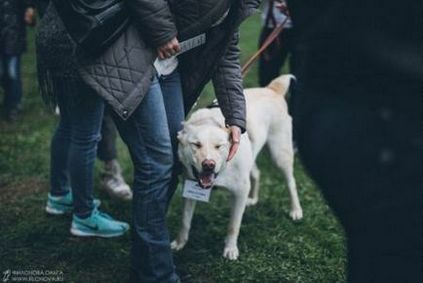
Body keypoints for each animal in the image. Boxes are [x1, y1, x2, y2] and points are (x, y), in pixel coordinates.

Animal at [171, 75, 304, 262]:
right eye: (196, 144)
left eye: (219, 146)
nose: (208, 164)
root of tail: (271, 89)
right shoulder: (189, 191)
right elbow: (185, 221)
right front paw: (179, 243)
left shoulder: (240, 191)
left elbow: (233, 225)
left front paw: (230, 250)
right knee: (257, 173)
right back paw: (253, 199)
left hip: (280, 155)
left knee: (291, 182)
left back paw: (296, 210)